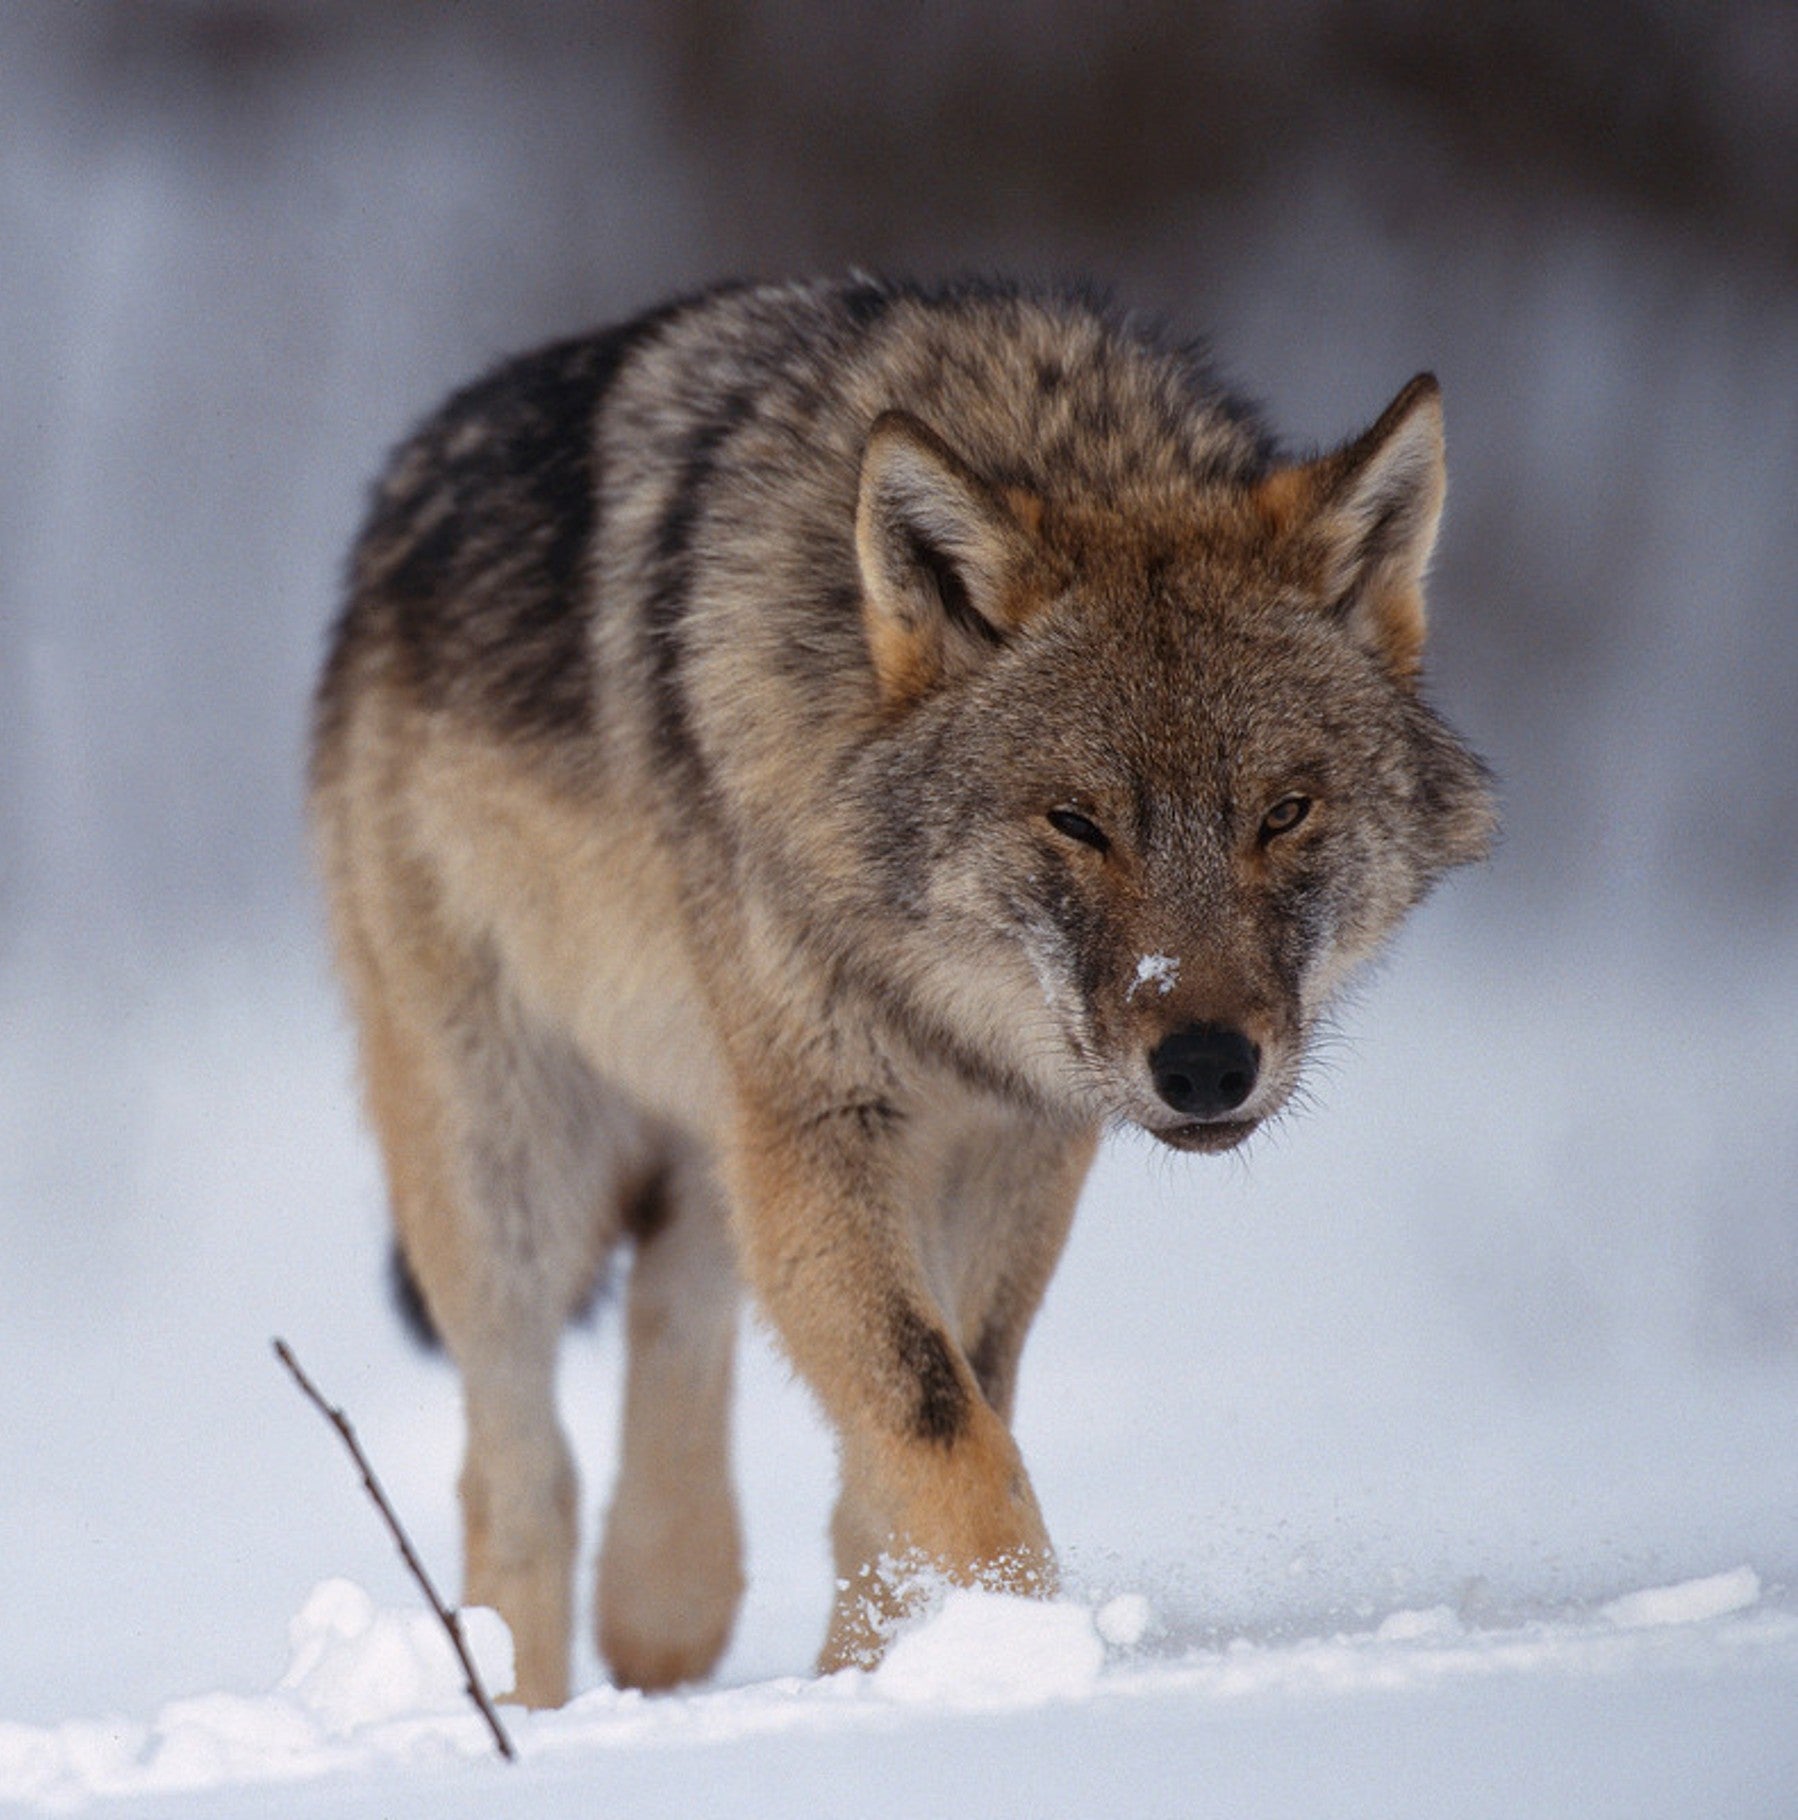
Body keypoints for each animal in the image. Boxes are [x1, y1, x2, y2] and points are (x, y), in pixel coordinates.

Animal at [309, 276, 1494, 1707]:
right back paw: (528, 1706)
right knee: (518, 1468)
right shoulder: (826, 1127)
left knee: (680, 1313)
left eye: (1282, 813)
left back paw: (668, 1609)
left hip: (714, 1129)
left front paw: (891, 1674)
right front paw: (1021, 1660)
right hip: (514, 1160)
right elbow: (943, 1428)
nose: (1207, 1064)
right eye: (1075, 822)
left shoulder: (1009, 1142)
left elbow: (930, 1433)